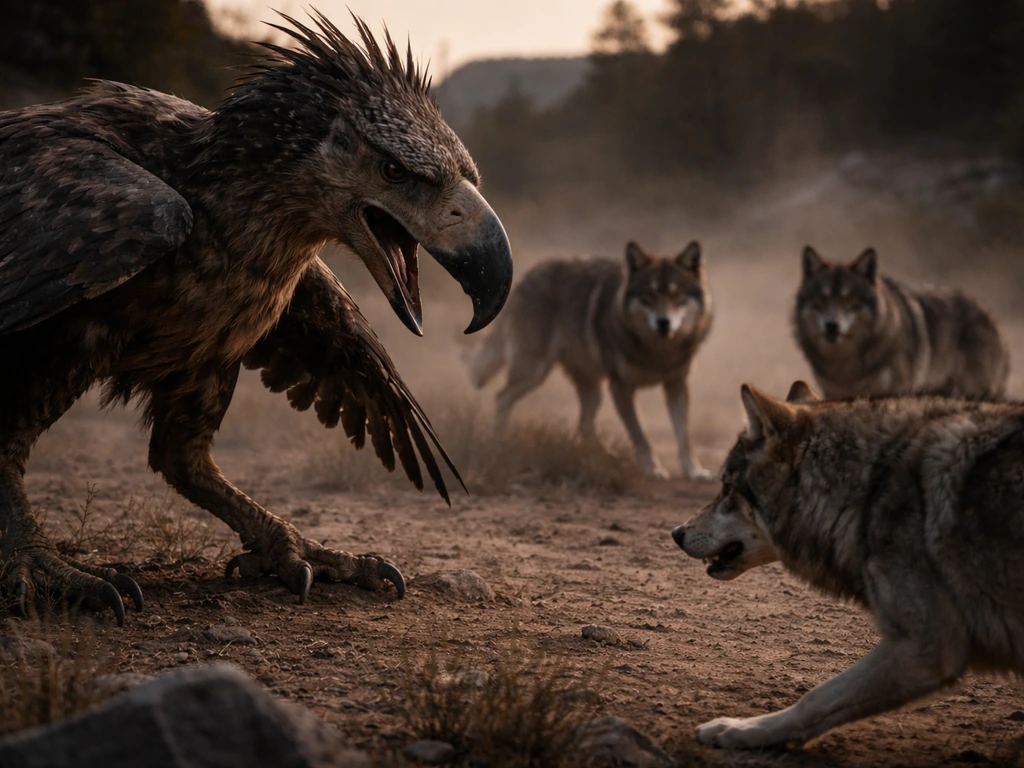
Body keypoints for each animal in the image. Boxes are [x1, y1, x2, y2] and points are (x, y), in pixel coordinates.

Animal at [467, 241, 713, 480]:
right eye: (648, 295)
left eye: (677, 294)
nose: (663, 322)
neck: (659, 353)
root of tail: (526, 276)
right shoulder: (621, 387)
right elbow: (641, 435)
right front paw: (653, 469)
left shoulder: (677, 384)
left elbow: (684, 436)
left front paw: (694, 471)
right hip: (533, 373)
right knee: (502, 398)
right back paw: (498, 445)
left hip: (592, 390)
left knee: (584, 426)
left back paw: (609, 458)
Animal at [672, 380, 1024, 749]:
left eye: (727, 487)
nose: (676, 533)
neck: (869, 486)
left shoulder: (926, 647)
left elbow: (815, 697)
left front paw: (744, 729)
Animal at [794, 246, 1008, 399]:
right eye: (821, 298)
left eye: (850, 299)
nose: (831, 326)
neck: (845, 363)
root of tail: (991, 316)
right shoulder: (832, 395)